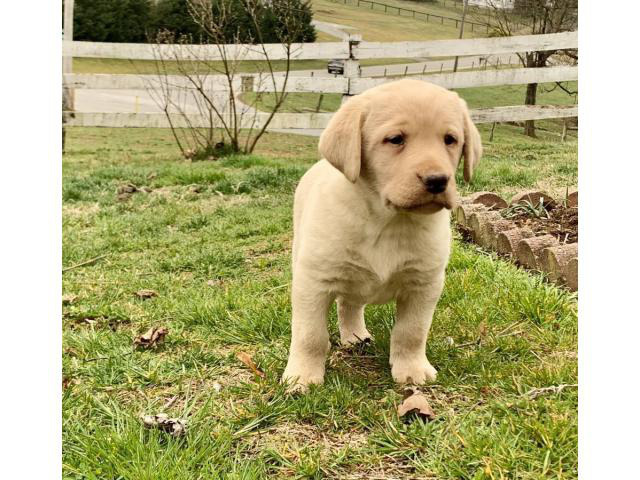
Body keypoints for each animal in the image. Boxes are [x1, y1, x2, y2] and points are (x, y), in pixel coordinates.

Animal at [282, 79, 482, 390]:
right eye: (396, 139)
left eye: (450, 139)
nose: (438, 180)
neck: (387, 221)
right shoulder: (313, 282)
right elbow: (310, 335)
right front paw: (301, 376)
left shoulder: (424, 284)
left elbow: (412, 331)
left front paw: (411, 368)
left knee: (349, 304)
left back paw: (355, 336)